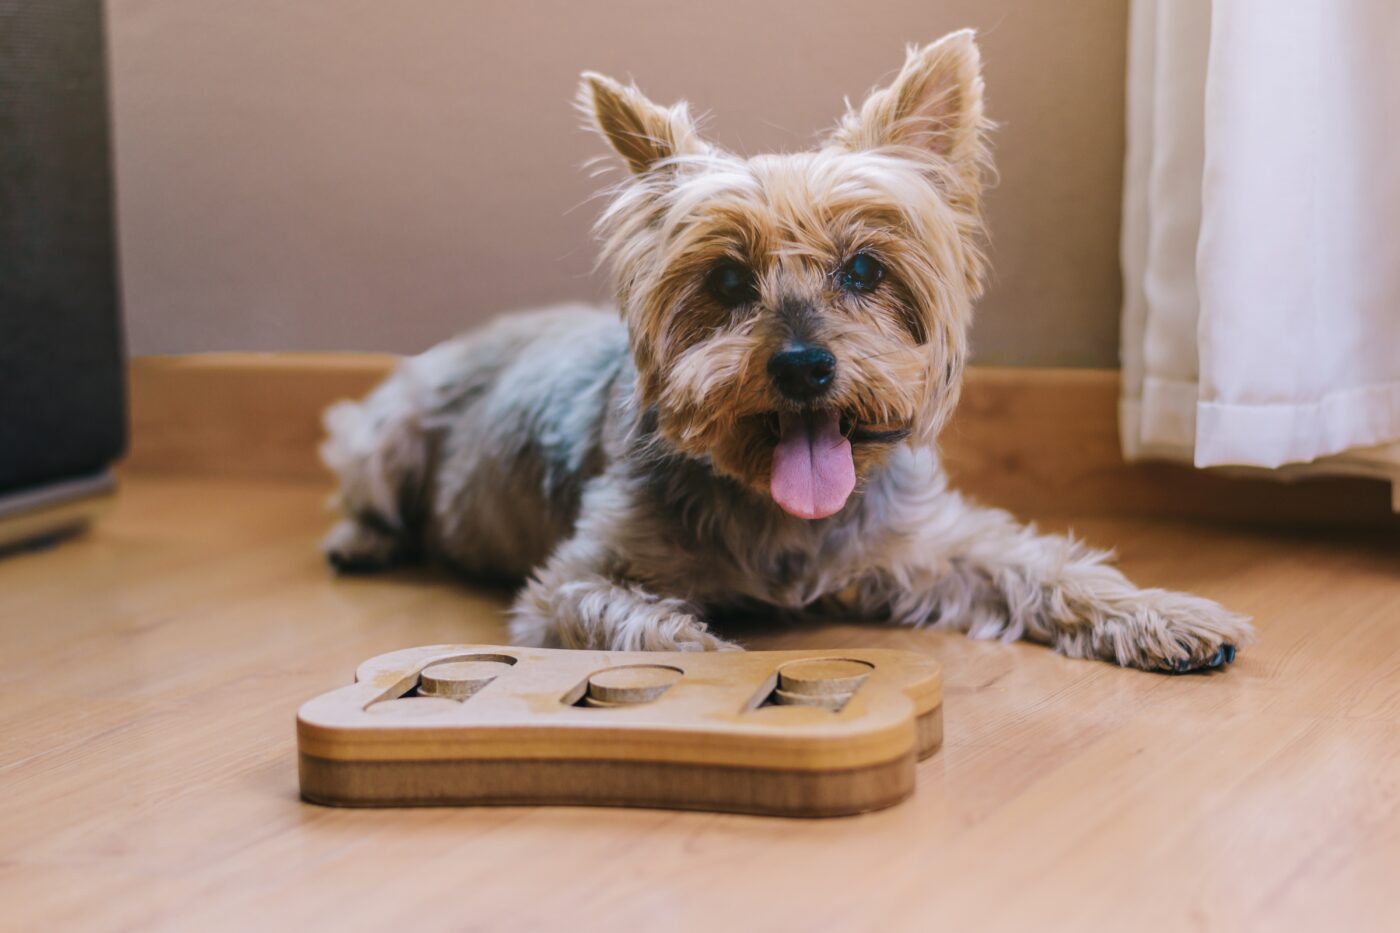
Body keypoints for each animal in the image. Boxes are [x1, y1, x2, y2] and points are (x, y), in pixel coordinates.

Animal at [322, 29, 1254, 669]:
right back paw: (363, 540)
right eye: (728, 280)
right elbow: (623, 617)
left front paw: (1167, 614)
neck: (783, 511)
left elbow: (1043, 562)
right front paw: (707, 661)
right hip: (386, 432)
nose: (803, 366)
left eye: (866, 268)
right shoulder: (572, 580)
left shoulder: (928, 543)